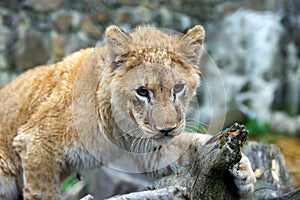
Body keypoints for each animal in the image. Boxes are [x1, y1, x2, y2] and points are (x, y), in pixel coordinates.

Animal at [0, 25, 255, 199]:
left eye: (178, 88)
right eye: (142, 92)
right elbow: (43, 193)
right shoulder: (35, 143)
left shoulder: (149, 149)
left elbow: (196, 143)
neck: (117, 124)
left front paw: (244, 170)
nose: (167, 129)